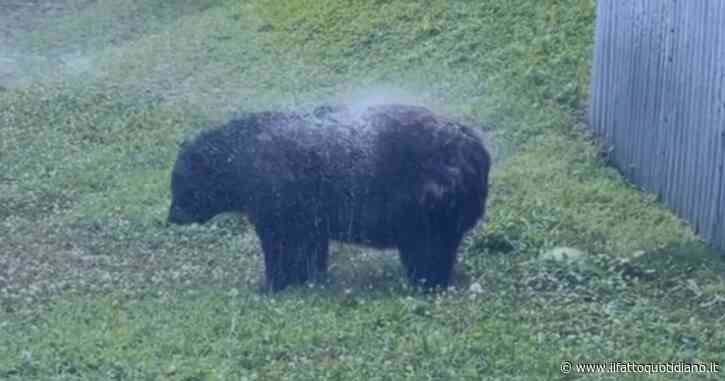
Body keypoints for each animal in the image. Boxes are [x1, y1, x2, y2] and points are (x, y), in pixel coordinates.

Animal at [167, 104, 490, 290]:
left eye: (178, 184)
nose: (172, 216)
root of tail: (476, 148)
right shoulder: (307, 210)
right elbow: (310, 244)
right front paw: (308, 278)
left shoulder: (277, 195)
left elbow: (280, 243)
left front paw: (273, 283)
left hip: (427, 195)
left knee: (427, 245)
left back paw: (425, 281)